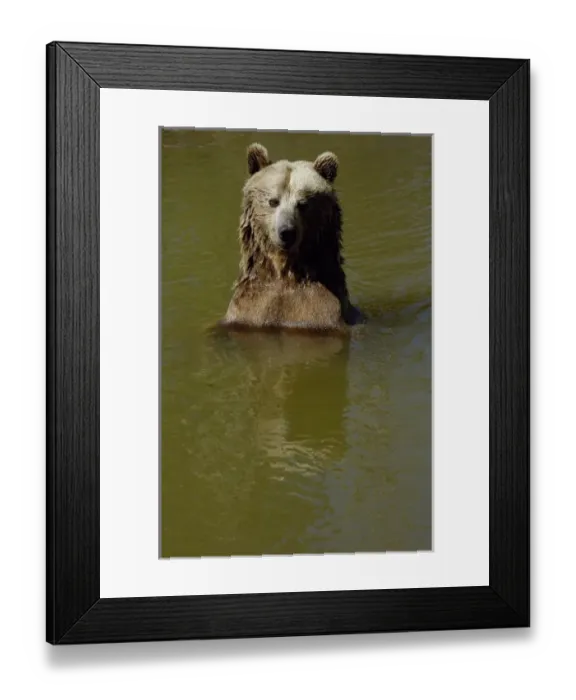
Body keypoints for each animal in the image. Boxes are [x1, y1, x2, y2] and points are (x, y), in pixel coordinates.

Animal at [221, 143, 363, 333]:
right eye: (273, 201)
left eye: (303, 204)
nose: (287, 232)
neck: (285, 272)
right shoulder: (249, 309)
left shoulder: (323, 313)